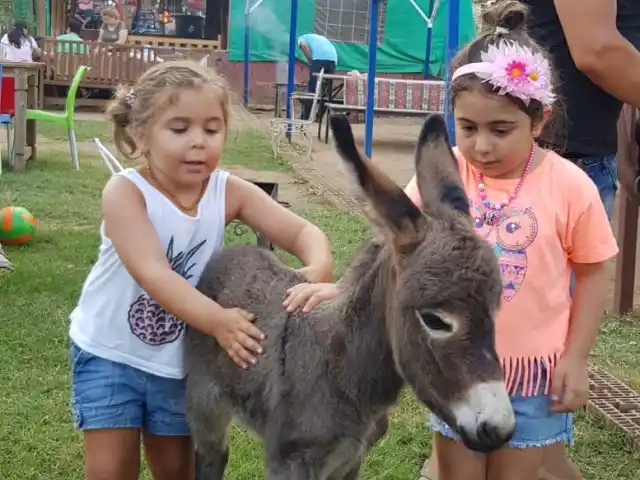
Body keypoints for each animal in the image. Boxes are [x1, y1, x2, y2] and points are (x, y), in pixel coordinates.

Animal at [185, 111, 516, 476]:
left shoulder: (351, 460)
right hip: (205, 406)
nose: (500, 429)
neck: (342, 368)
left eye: (494, 310)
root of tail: (231, 253)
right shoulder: (289, 464)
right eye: (435, 320)